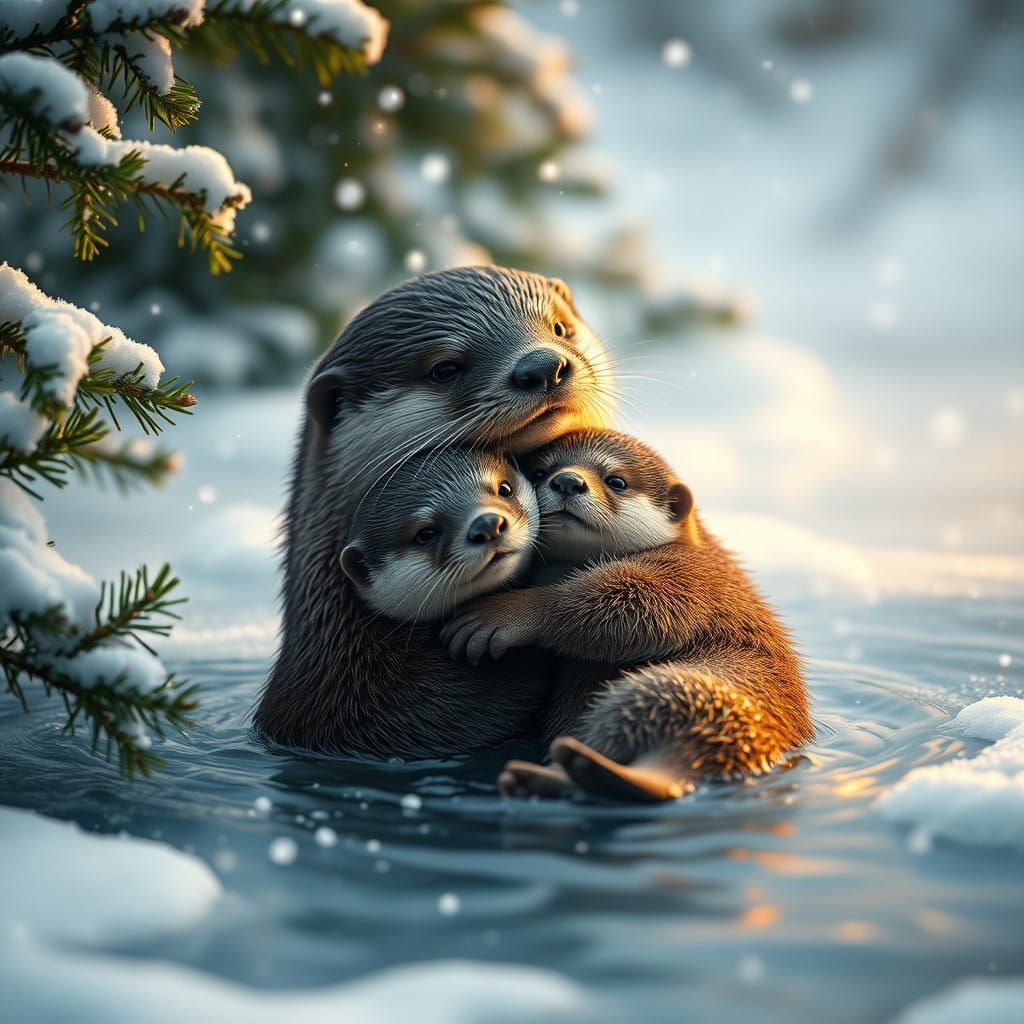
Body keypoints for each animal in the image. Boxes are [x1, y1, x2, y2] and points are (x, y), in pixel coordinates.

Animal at [440, 429, 812, 801]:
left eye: (616, 481)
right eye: (540, 472)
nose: (567, 481)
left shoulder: (690, 575)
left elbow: (639, 609)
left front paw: (505, 614)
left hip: (692, 686)